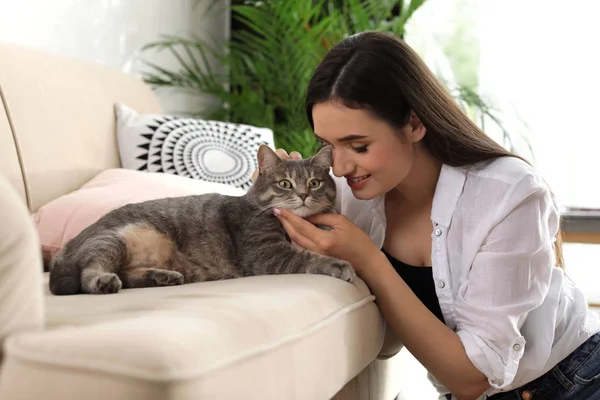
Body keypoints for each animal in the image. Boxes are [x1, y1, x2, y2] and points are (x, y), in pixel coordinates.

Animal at [50, 145, 356, 296]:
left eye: (314, 183)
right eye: (285, 184)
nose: (304, 195)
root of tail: (64, 250)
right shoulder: (266, 253)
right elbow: (307, 257)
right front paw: (339, 264)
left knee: (128, 275)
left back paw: (163, 277)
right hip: (113, 240)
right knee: (88, 272)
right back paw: (103, 282)